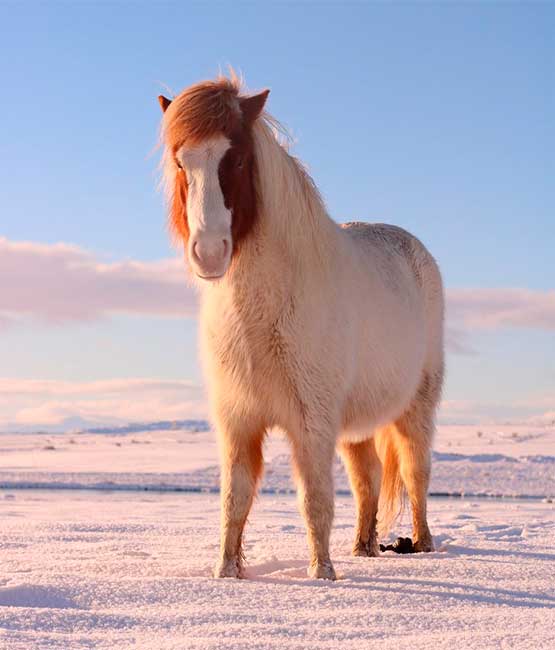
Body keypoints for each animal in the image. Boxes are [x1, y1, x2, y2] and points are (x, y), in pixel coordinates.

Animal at [159, 73, 446, 580]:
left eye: (236, 158)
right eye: (180, 161)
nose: (209, 253)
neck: (261, 312)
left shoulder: (312, 422)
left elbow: (314, 499)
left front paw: (322, 575)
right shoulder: (237, 420)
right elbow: (234, 499)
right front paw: (226, 573)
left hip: (417, 407)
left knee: (416, 472)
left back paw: (424, 545)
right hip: (357, 424)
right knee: (369, 478)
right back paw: (364, 548)